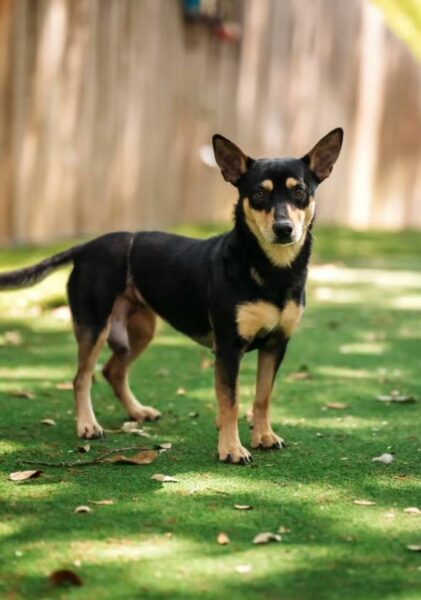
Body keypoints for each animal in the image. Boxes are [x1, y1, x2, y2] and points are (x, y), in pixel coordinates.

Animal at [0, 128, 343, 464]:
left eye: (300, 191)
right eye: (259, 194)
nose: (284, 229)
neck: (271, 270)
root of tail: (86, 247)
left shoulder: (276, 344)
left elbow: (263, 396)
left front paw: (264, 437)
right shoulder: (229, 348)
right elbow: (230, 402)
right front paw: (232, 449)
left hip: (140, 331)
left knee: (113, 371)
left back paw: (138, 411)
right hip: (93, 326)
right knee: (82, 377)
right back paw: (87, 425)